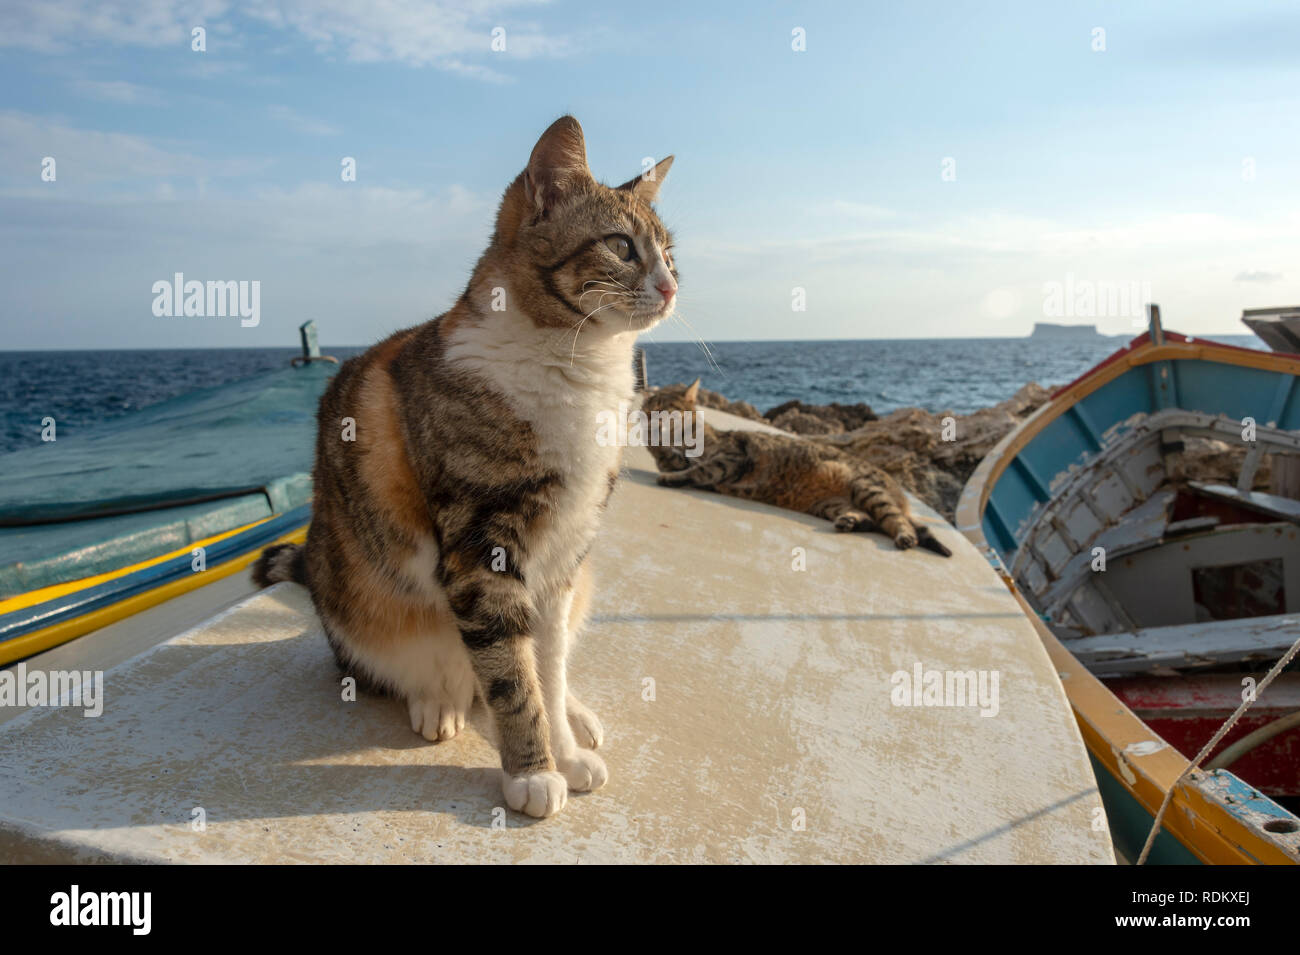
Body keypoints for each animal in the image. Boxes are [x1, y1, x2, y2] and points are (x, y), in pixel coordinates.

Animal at [250, 117, 681, 821]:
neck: (576, 366)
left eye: (671, 254)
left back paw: (575, 715)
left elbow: (546, 666)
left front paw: (564, 749)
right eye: (621, 245)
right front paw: (533, 773)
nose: (671, 286)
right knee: (422, 669)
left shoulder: (564, 556)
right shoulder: (484, 550)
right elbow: (512, 677)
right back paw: (439, 701)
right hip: (360, 607)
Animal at [642, 382, 956, 561]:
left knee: (897, 522)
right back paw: (850, 521)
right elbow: (671, 458)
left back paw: (904, 537)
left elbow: (700, 470)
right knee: (870, 520)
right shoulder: (682, 458)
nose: (650, 421)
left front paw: (672, 473)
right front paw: (653, 444)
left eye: (666, 409)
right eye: (647, 409)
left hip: (867, 488)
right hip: (830, 503)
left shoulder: (731, 457)